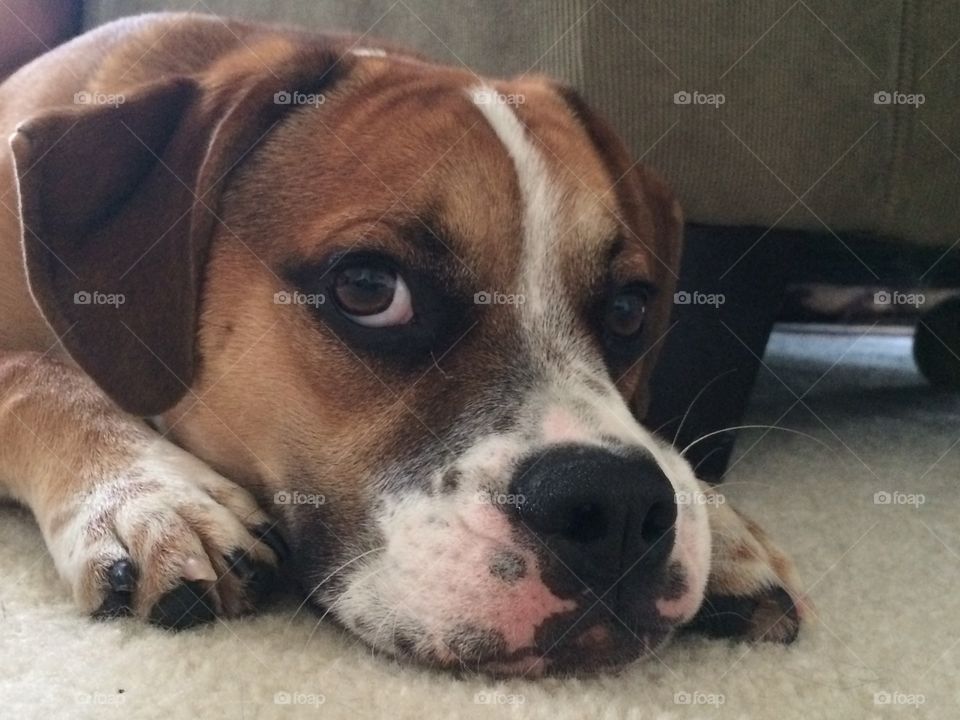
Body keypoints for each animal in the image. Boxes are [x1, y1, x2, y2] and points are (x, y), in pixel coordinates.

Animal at [0, 12, 808, 676]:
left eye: (630, 309)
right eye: (368, 288)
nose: (616, 506)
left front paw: (720, 521)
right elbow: (37, 376)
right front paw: (149, 492)